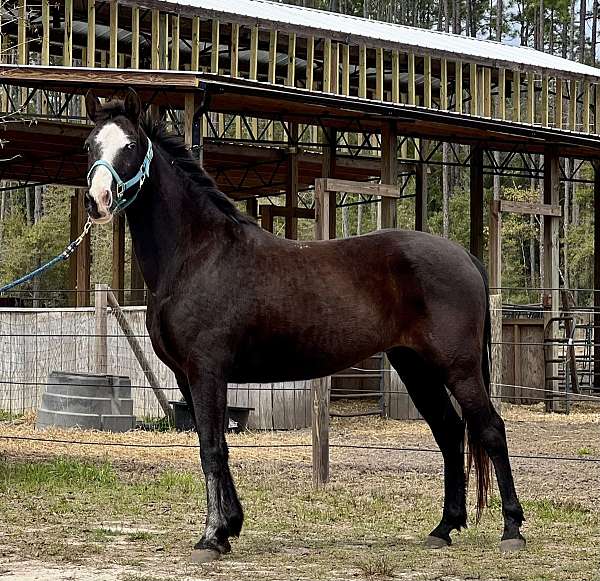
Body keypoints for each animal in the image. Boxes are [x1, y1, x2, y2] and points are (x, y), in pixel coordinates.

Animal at [84, 88, 524, 560]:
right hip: (415, 366)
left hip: (457, 367)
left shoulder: (206, 372)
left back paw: (512, 530)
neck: (198, 255)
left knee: (490, 429)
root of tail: (465, 256)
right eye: (90, 145)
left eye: (131, 145)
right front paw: (230, 526)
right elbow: (216, 444)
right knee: (449, 431)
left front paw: (212, 536)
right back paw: (444, 526)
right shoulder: (187, 377)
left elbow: (212, 448)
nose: (98, 200)